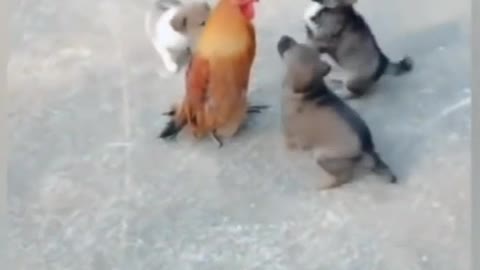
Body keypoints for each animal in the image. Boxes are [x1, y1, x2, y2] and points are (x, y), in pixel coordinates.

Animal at [276, 35, 396, 188]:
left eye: (291, 48)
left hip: (323, 156)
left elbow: (289, 142)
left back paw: (327, 184)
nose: (284, 37)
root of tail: (365, 150)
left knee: (345, 177)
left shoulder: (289, 131)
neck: (310, 88)